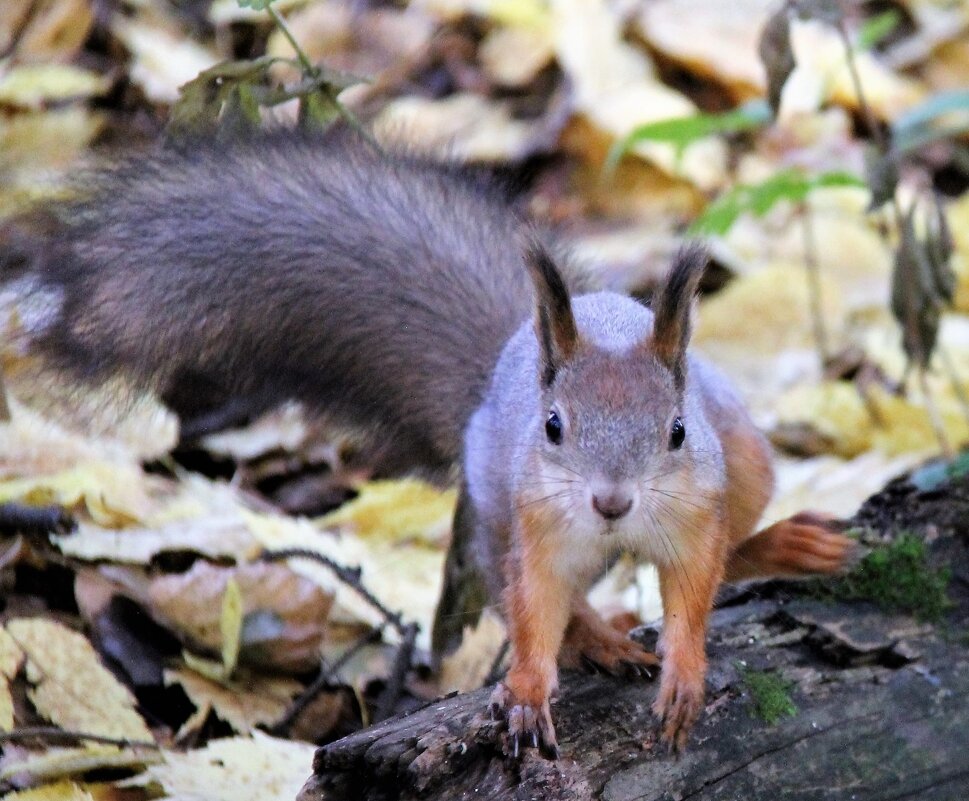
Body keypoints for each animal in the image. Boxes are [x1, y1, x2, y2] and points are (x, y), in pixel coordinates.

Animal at [0, 131, 852, 756]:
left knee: (732, 548)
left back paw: (786, 546)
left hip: (746, 458)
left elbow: (695, 587)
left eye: (675, 431)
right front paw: (529, 687)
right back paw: (597, 639)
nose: (610, 502)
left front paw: (682, 676)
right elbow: (532, 605)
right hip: (496, 504)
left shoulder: (695, 506)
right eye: (553, 426)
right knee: (515, 587)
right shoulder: (539, 524)